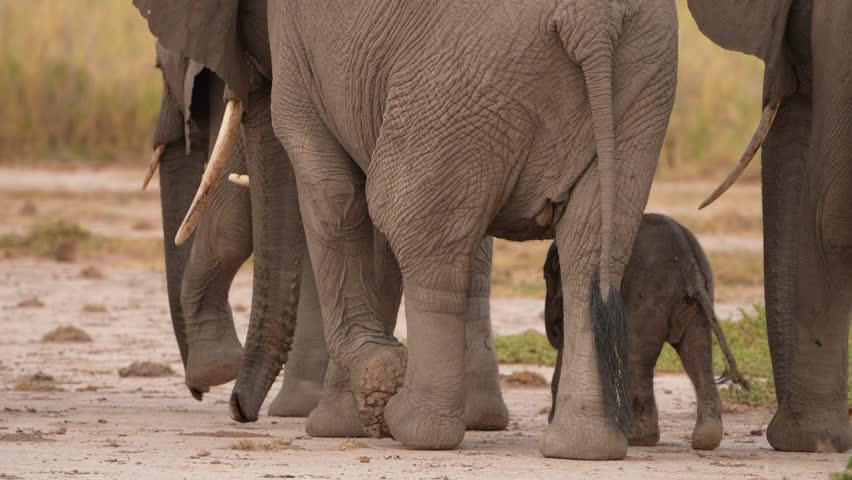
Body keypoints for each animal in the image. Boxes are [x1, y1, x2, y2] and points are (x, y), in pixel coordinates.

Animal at [543, 213, 746, 451]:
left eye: (546, 278)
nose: (553, 333)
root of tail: (688, 264)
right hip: (698, 300)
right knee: (697, 355)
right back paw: (706, 438)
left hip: (647, 295)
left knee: (636, 358)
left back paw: (637, 438)